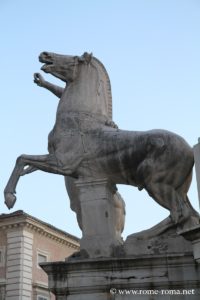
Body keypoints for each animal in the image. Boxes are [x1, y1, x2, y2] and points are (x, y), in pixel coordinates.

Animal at [3, 51, 199, 231]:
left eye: (75, 58)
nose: (45, 54)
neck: (79, 117)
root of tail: (190, 150)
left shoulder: (63, 163)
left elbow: (21, 158)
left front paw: (10, 198)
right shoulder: (55, 157)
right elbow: (27, 163)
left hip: (154, 182)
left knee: (179, 213)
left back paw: (142, 236)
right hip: (177, 188)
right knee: (187, 214)